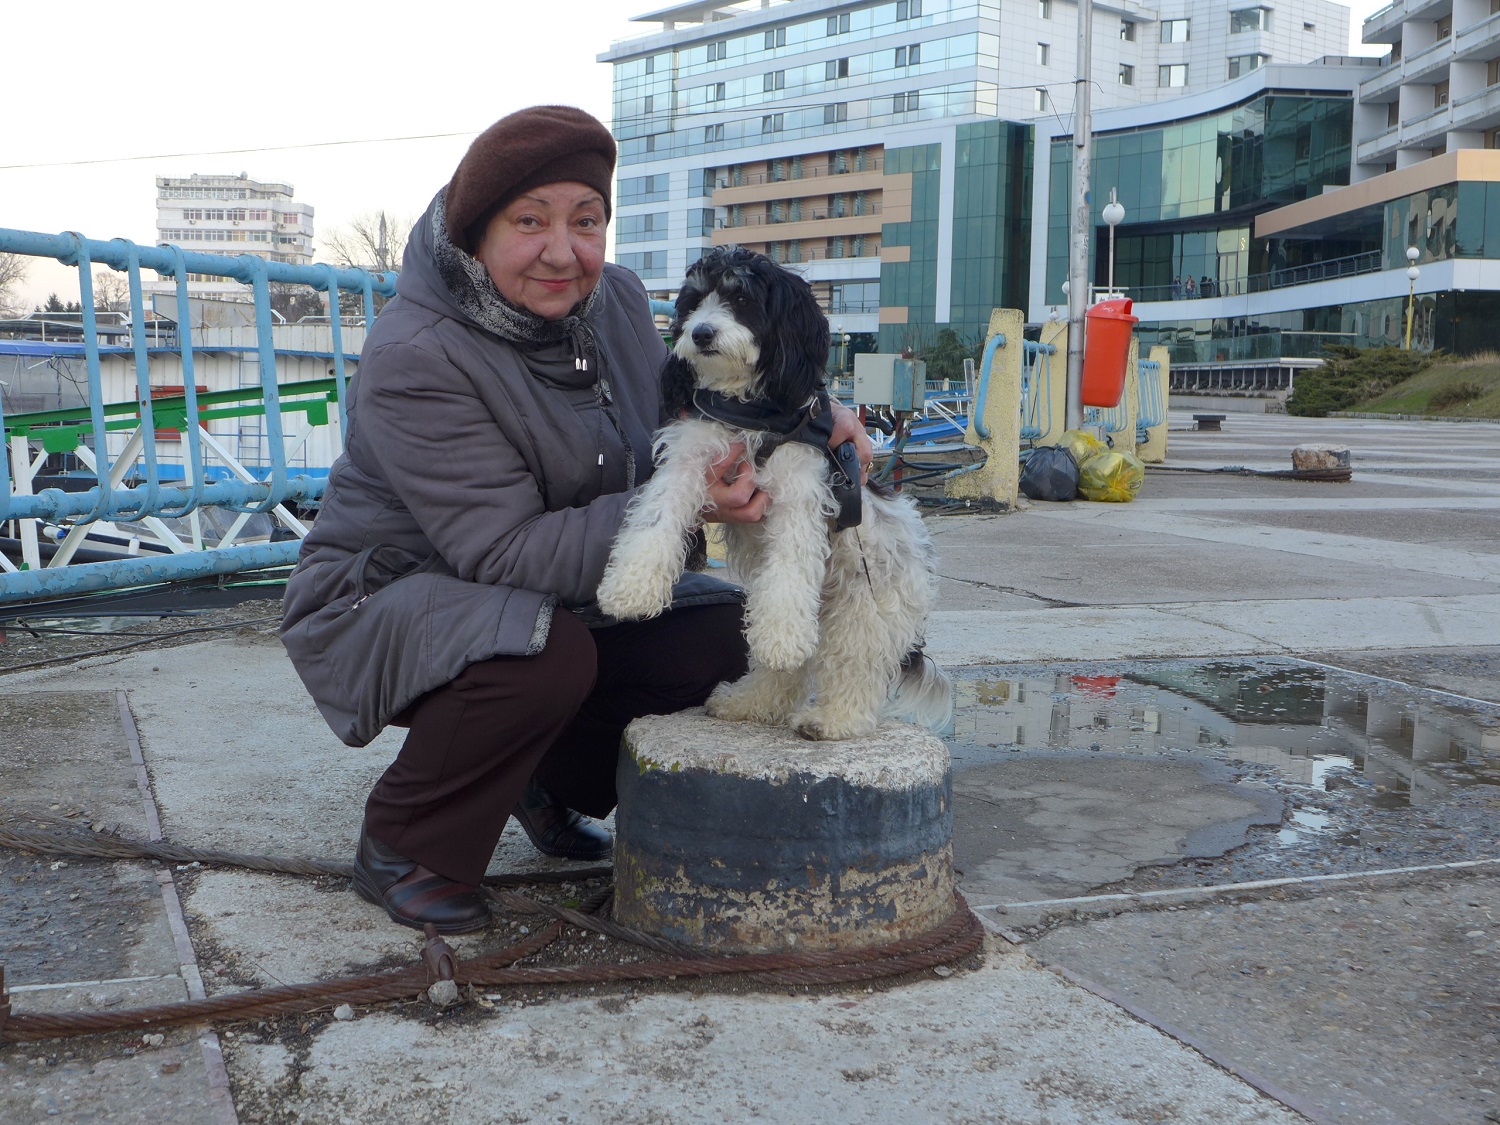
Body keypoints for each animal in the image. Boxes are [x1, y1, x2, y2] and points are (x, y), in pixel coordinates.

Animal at [594, 244, 948, 741]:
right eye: (694, 302)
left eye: (741, 299)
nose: (700, 333)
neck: (749, 411)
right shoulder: (687, 460)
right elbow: (655, 520)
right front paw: (630, 589)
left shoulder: (797, 497)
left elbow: (789, 570)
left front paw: (783, 638)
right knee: (788, 672)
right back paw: (750, 702)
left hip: (866, 602)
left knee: (853, 663)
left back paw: (832, 720)